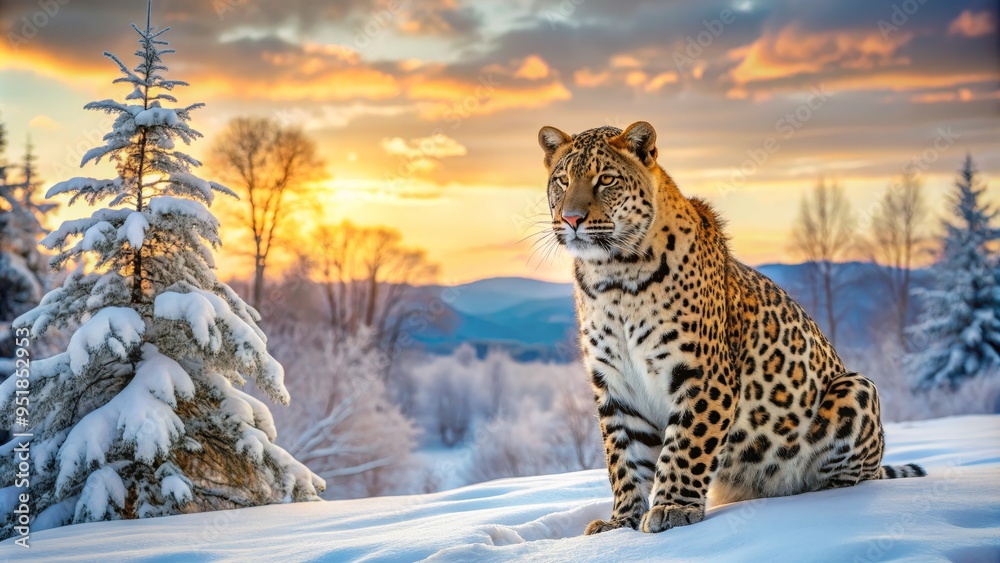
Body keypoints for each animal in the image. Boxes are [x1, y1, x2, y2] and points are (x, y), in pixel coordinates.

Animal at [536, 121, 926, 535]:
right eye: (562, 180)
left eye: (606, 180)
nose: (571, 219)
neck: (612, 277)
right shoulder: (615, 385)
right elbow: (624, 460)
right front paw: (620, 523)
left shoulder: (702, 375)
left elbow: (684, 447)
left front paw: (672, 507)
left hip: (857, 388)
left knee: (851, 478)